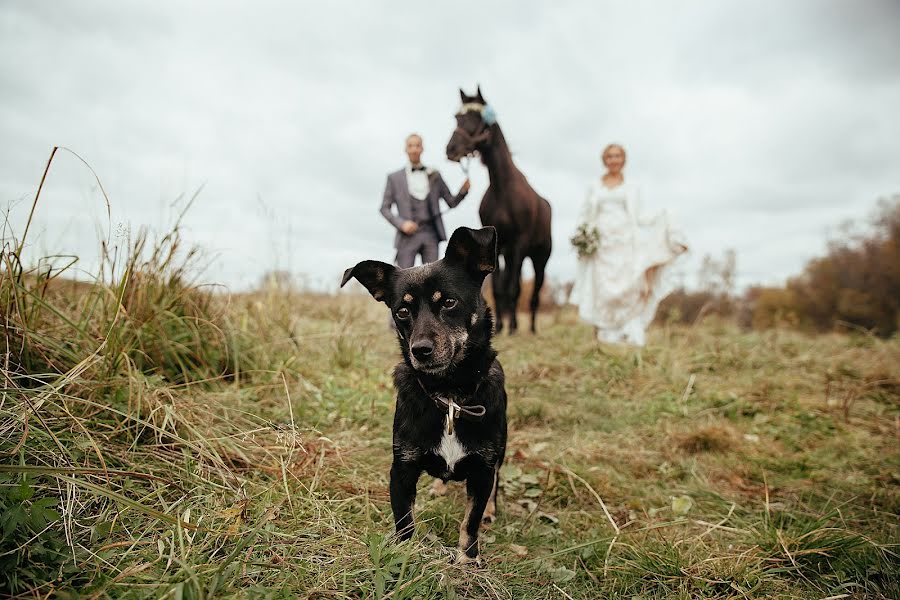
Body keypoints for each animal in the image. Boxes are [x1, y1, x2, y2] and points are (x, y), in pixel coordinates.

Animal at [342, 225, 506, 564]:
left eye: (449, 302)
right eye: (402, 311)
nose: (420, 350)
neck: (449, 393)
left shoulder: (483, 469)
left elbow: (470, 520)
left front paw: (468, 559)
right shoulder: (402, 469)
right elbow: (404, 520)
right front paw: (404, 555)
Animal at [446, 88, 552, 332]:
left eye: (477, 117)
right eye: (457, 117)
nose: (452, 149)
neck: (503, 188)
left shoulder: (519, 245)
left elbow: (514, 288)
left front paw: (512, 327)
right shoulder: (498, 248)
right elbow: (498, 288)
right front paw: (502, 326)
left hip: (539, 258)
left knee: (534, 292)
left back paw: (531, 327)